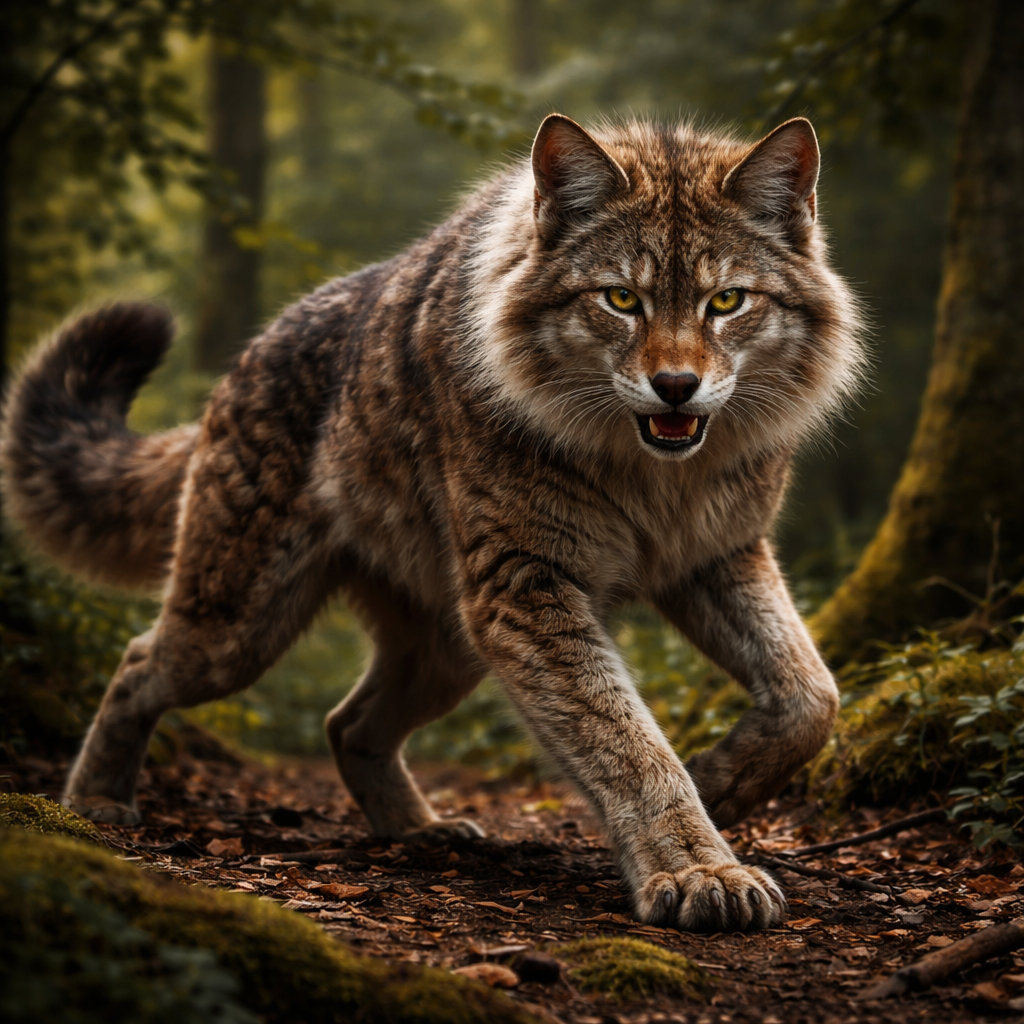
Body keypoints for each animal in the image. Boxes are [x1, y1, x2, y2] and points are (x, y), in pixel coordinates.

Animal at [1, 113, 865, 932]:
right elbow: (630, 744)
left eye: (727, 301)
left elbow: (811, 696)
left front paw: (719, 789)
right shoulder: (526, 585)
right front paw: (698, 870)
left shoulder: (718, 556)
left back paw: (419, 831)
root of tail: (240, 365)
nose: (676, 386)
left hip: (448, 649)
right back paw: (96, 802)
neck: (654, 477)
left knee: (346, 722)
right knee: (138, 661)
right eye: (621, 298)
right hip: (239, 632)